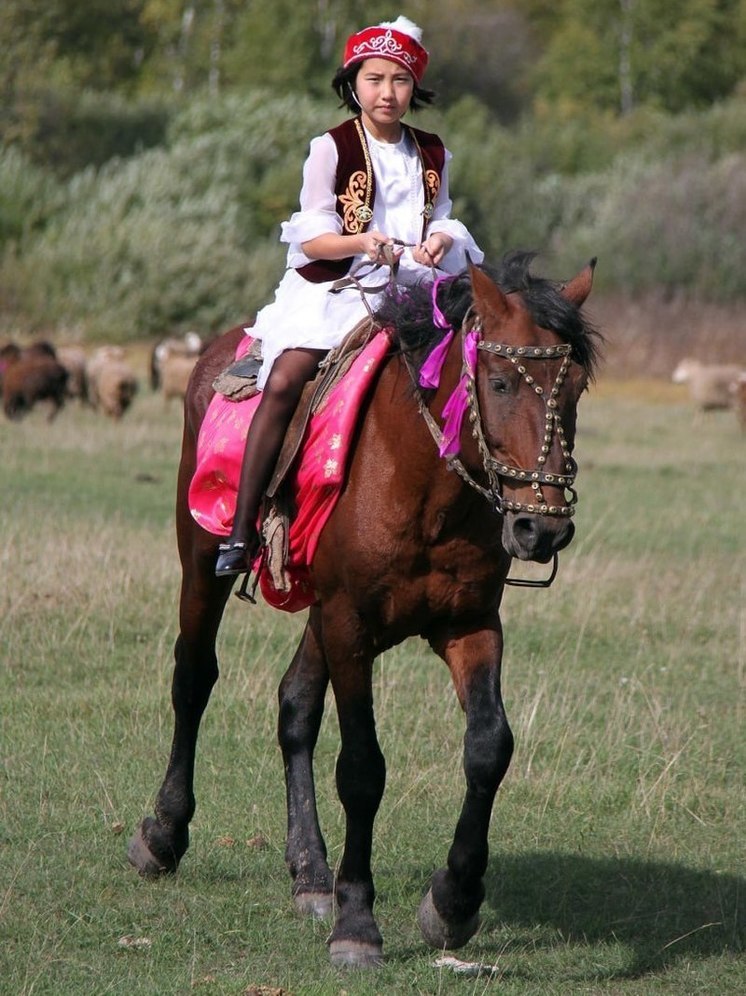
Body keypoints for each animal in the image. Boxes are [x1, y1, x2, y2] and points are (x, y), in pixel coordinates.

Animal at [128, 253, 600, 968]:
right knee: (194, 678)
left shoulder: (468, 625)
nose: (541, 529)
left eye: (572, 388)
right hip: (203, 556)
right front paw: (357, 922)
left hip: (321, 612)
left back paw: (309, 871)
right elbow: (361, 769)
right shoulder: (349, 625)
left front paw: (453, 902)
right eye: (498, 381)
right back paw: (163, 835)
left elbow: (489, 747)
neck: (424, 486)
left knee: (294, 704)